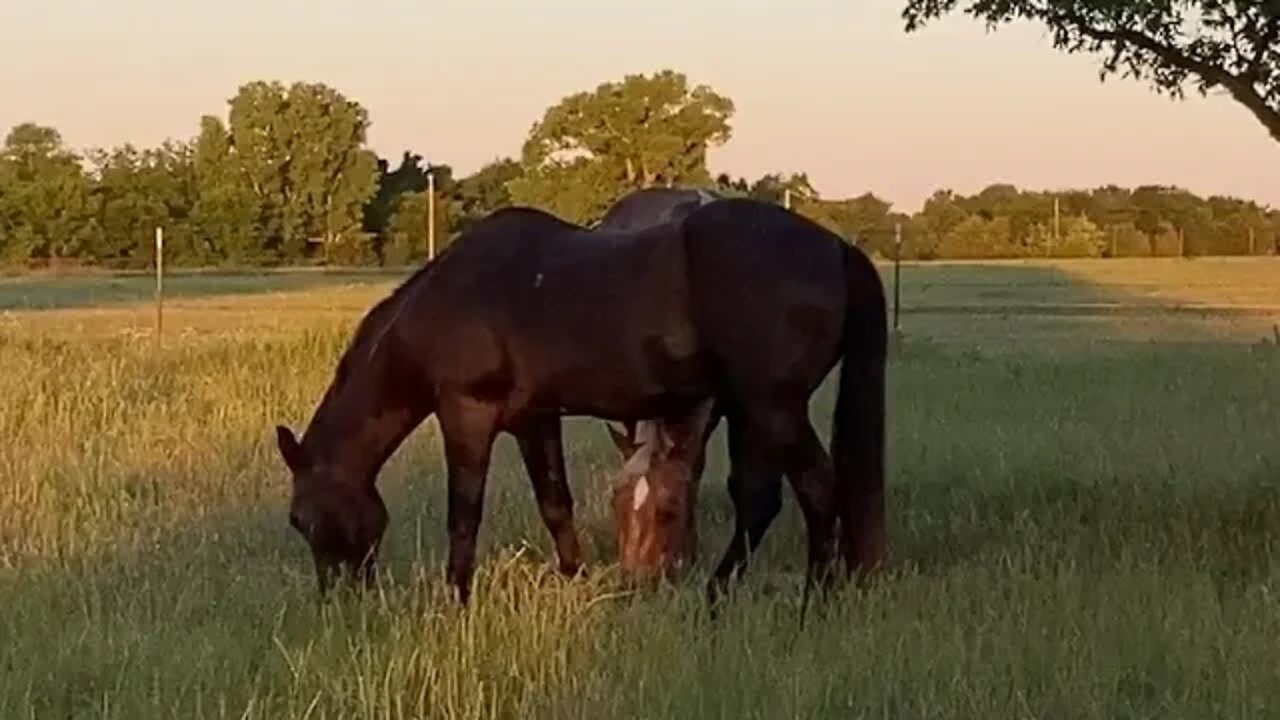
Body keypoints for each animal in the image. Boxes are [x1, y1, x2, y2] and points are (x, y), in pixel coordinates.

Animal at [275, 194, 885, 599]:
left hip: (772, 407)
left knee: (817, 490)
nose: (340, 599)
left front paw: (456, 599)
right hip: (750, 411)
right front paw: (574, 579)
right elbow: (555, 502)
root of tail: (837, 248)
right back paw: (718, 597)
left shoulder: (466, 415)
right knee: (761, 500)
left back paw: (814, 597)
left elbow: (464, 514)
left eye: (302, 520)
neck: (448, 303)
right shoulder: (535, 419)